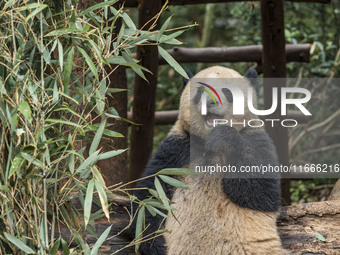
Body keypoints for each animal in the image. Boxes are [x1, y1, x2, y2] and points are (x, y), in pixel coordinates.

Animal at [132, 66, 286, 255]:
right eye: (200, 91)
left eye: (227, 91)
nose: (211, 102)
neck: (208, 142)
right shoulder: (179, 146)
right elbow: (151, 192)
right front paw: (153, 245)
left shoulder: (254, 138)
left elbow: (263, 194)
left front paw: (224, 137)